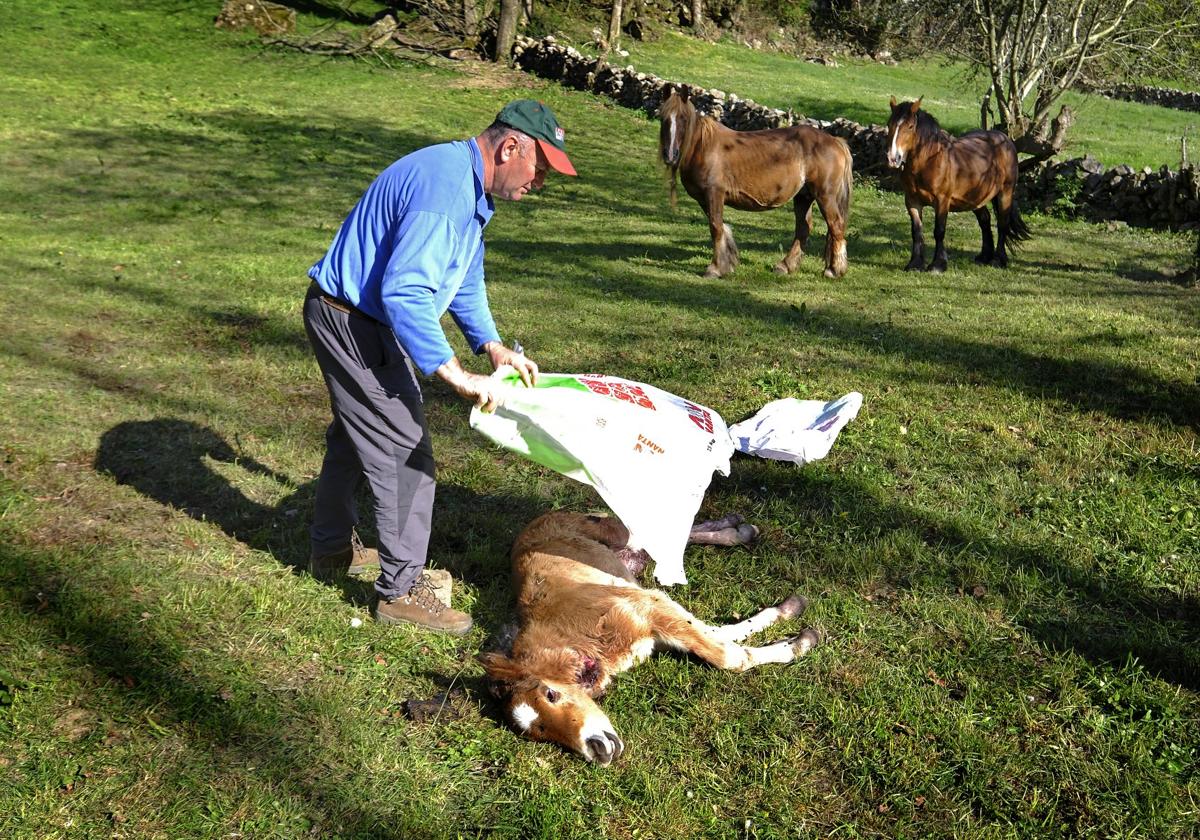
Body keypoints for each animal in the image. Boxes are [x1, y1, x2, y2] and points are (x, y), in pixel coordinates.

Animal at [657, 87, 854, 280]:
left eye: (683, 118)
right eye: (663, 118)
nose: (670, 155)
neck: (702, 147)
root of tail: (836, 141)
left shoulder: (714, 193)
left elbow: (716, 227)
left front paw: (715, 268)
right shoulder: (705, 199)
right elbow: (722, 227)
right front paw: (728, 263)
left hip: (825, 195)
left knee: (836, 225)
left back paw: (833, 270)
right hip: (803, 196)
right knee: (803, 229)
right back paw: (785, 266)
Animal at [883, 97, 1032, 272]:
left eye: (910, 126)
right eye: (889, 124)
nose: (893, 158)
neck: (929, 161)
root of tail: (1005, 139)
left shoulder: (942, 201)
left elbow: (939, 231)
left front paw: (938, 265)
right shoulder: (912, 201)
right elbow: (916, 231)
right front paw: (915, 264)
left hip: (1005, 192)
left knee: (1002, 224)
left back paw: (998, 259)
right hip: (975, 197)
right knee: (985, 220)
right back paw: (984, 256)